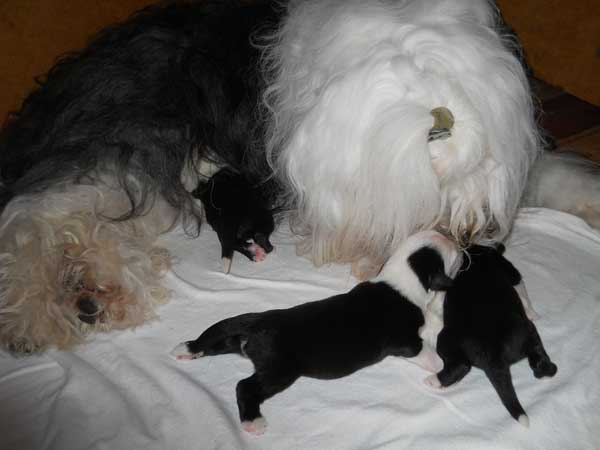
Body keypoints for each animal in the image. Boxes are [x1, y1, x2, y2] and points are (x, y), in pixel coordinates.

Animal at [171, 231, 462, 434]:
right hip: (279, 370)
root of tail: (258, 320)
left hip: (236, 342)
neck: (401, 277)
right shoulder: (406, 341)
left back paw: (189, 351)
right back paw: (253, 422)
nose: (456, 241)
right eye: (450, 253)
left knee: (212, 343)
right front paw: (438, 366)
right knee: (245, 386)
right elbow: (424, 350)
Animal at [423, 244, 557, 427]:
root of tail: (495, 354)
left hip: (446, 338)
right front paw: (532, 311)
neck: (479, 260)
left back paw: (434, 380)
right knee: (538, 354)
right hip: (529, 333)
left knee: (461, 366)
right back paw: (547, 370)